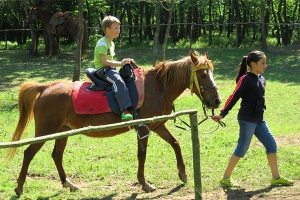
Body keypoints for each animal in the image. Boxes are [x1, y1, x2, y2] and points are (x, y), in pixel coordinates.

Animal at [5, 50, 221, 195]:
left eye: (211, 72)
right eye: (203, 74)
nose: (217, 101)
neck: (157, 86)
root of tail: (45, 88)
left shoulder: (158, 125)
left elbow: (175, 143)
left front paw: (183, 174)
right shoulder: (143, 127)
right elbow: (142, 154)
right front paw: (144, 184)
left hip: (63, 131)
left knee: (56, 155)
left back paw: (69, 184)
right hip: (46, 130)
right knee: (28, 153)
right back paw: (19, 186)